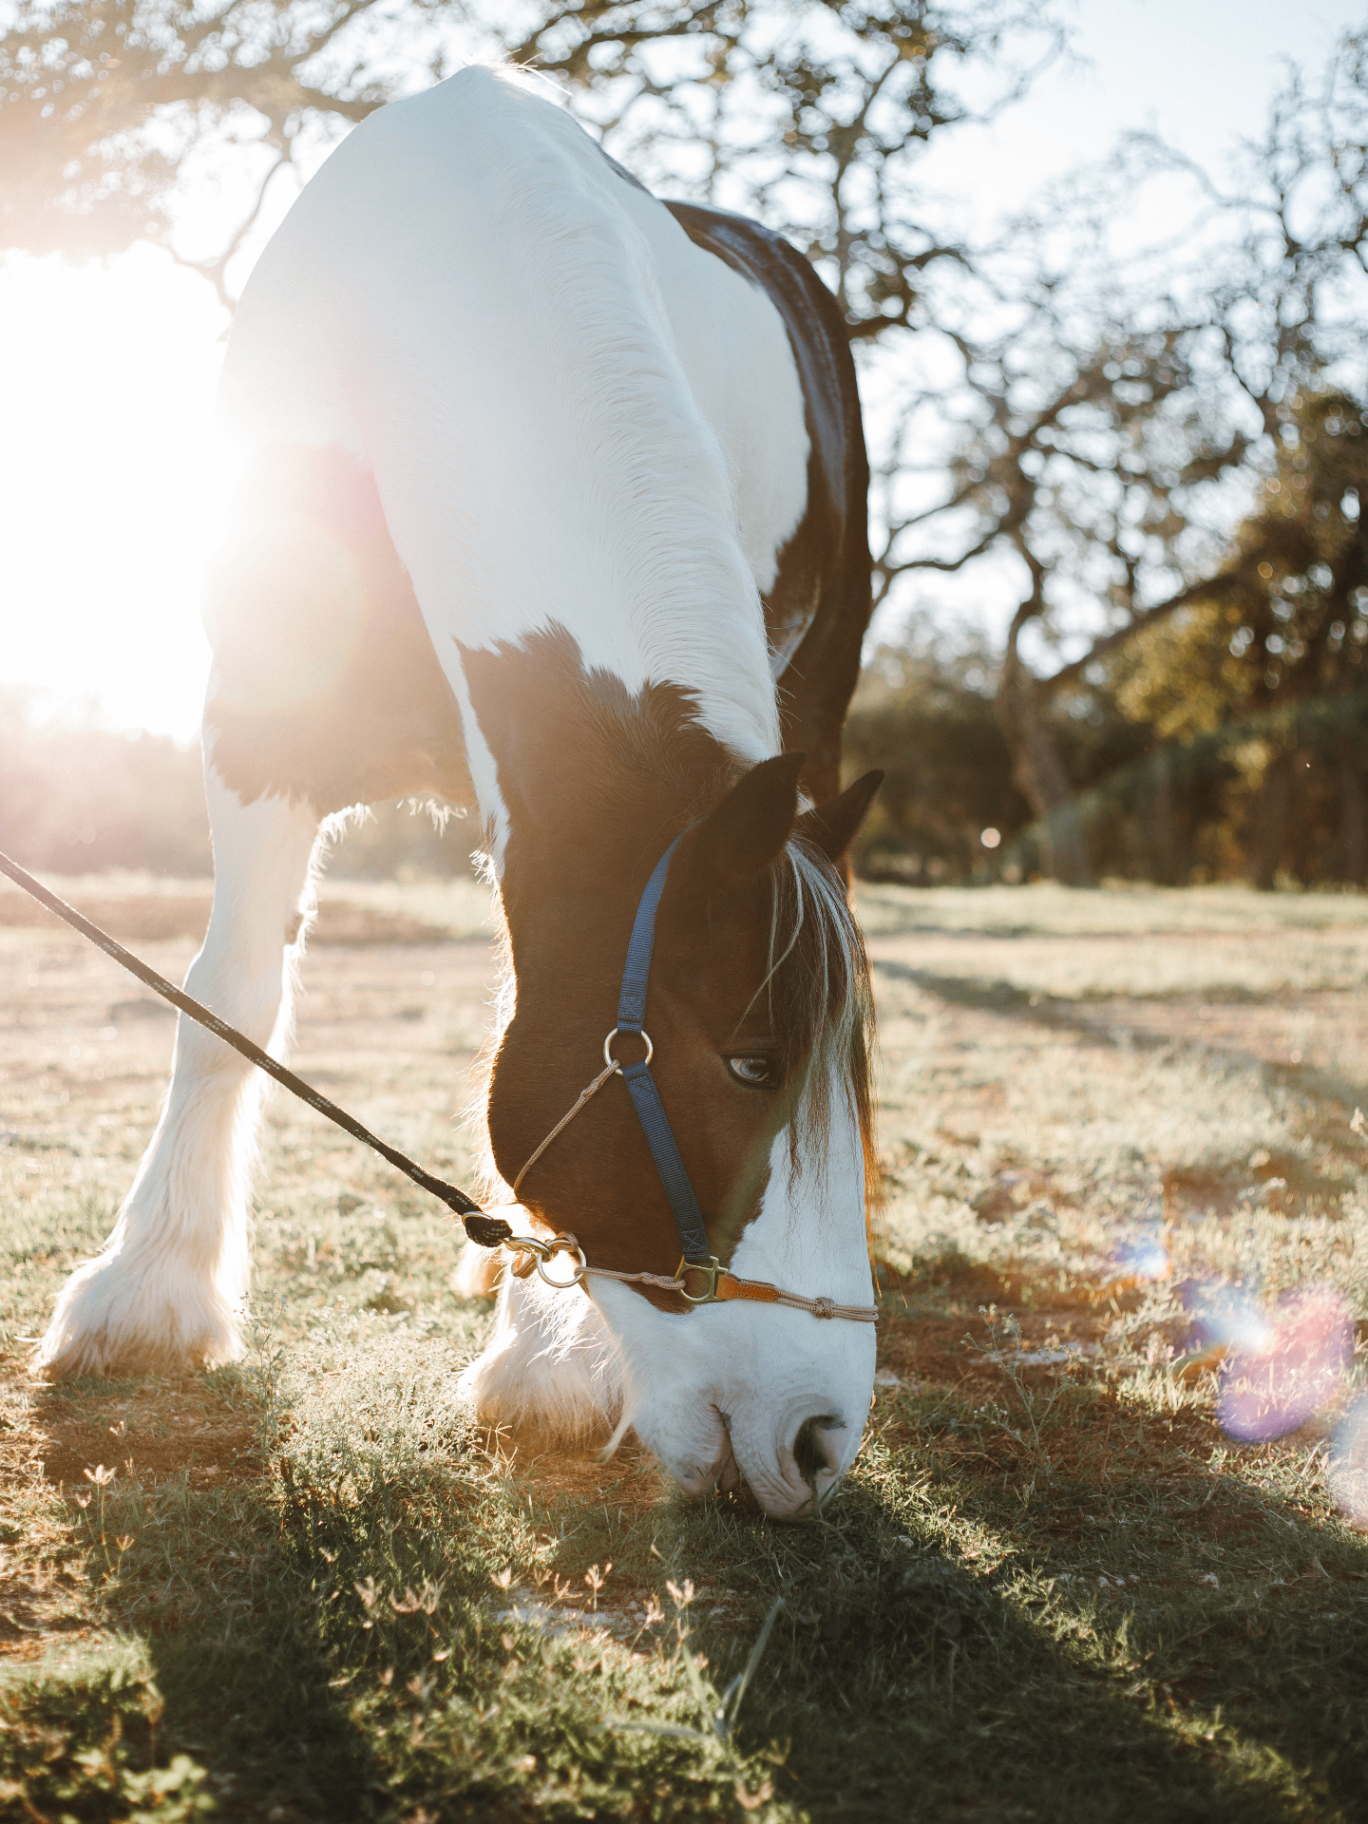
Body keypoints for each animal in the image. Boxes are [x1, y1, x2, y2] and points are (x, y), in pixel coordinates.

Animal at [35, 65, 880, 1521]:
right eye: (750, 1062)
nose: (820, 1441)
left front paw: (552, 1354)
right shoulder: (258, 725)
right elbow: (226, 999)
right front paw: (149, 1294)